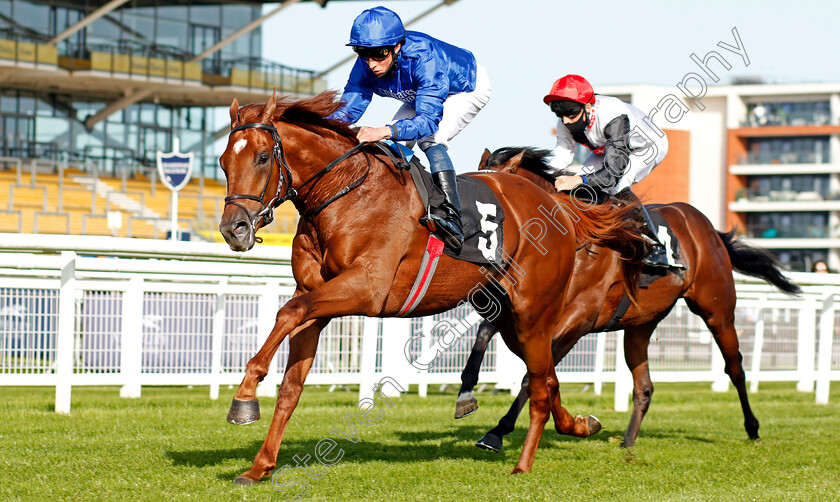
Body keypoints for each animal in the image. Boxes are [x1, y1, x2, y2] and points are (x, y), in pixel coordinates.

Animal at [215, 92, 644, 480]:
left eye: (263, 157)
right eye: (223, 161)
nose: (234, 229)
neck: (345, 194)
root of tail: (559, 206)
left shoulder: (366, 288)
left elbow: (286, 313)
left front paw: (244, 397)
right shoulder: (314, 297)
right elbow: (291, 380)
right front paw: (259, 465)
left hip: (534, 313)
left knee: (540, 385)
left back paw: (522, 465)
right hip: (511, 321)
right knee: (548, 379)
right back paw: (579, 425)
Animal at [456, 145, 804, 452]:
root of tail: (707, 228)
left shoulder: (578, 319)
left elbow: (533, 375)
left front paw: (497, 431)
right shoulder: (525, 310)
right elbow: (485, 336)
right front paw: (467, 394)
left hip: (717, 310)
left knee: (735, 368)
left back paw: (753, 428)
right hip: (641, 325)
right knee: (644, 386)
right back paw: (627, 441)